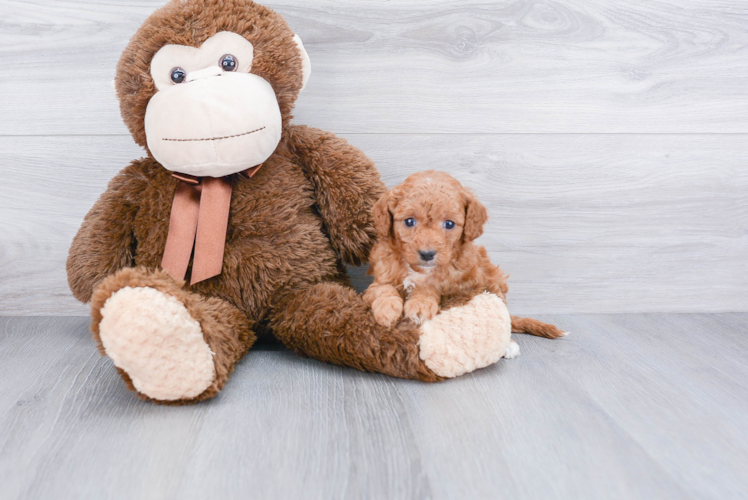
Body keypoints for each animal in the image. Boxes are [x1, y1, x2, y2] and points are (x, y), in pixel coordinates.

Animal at [364, 171, 568, 340]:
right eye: (409, 221)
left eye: (449, 224)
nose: (427, 254)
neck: (419, 271)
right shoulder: (380, 276)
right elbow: (382, 288)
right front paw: (387, 310)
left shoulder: (461, 285)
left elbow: (432, 286)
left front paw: (420, 304)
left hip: (494, 279)